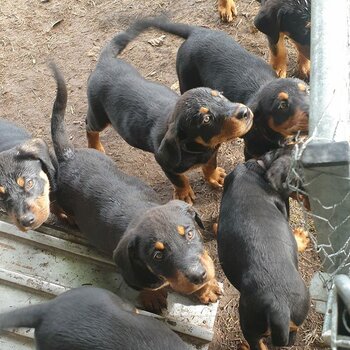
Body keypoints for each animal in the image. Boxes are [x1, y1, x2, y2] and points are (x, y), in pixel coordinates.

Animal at [49, 64, 221, 314]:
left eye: (189, 233)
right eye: (157, 255)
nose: (198, 276)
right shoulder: (128, 264)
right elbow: (145, 283)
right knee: (53, 205)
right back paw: (66, 217)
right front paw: (154, 297)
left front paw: (206, 288)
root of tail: (67, 155)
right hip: (58, 194)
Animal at [86, 21, 253, 205]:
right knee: (89, 126)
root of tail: (105, 62)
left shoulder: (211, 153)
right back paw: (95, 147)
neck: (199, 148)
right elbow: (179, 179)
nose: (245, 112)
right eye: (206, 119)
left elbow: (210, 165)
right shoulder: (164, 161)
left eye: (220, 95)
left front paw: (215, 177)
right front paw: (184, 194)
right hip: (99, 115)